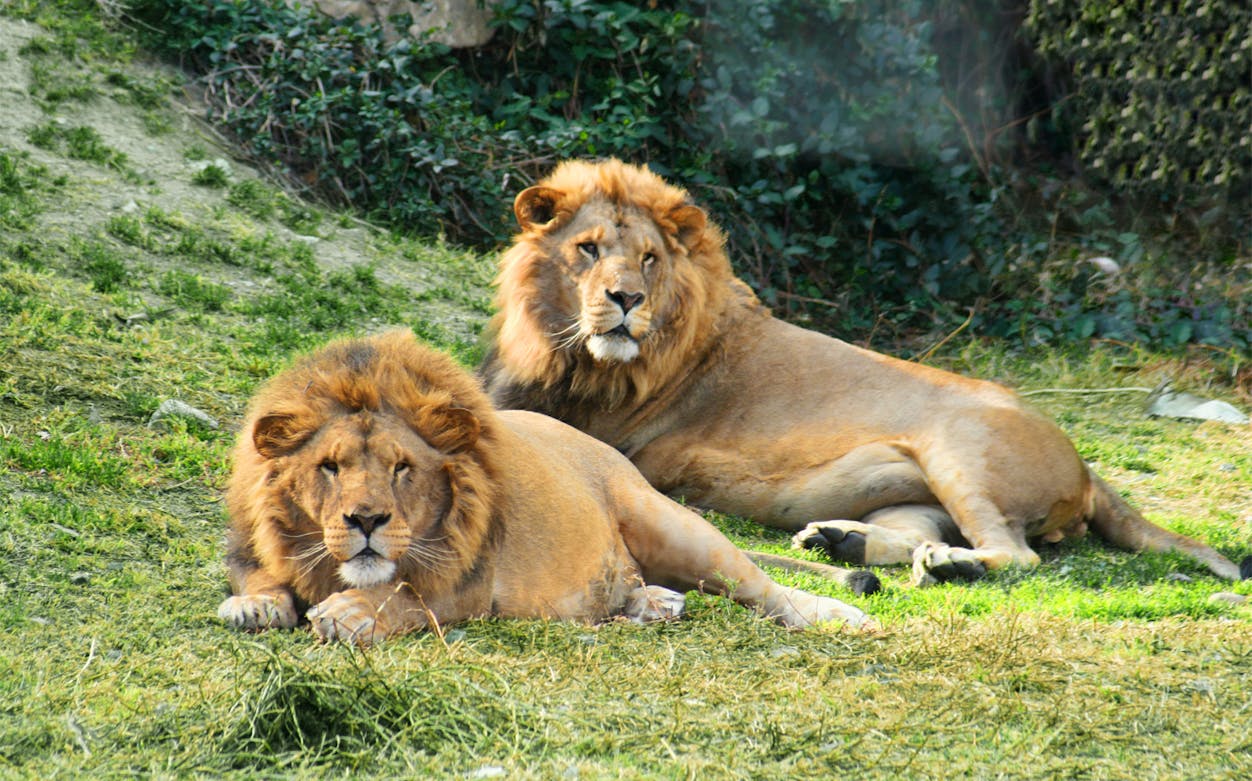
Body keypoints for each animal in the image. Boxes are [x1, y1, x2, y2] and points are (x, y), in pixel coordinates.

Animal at [216, 330, 871, 645]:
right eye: (330, 466)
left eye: (402, 467)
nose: (367, 521)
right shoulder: (251, 546)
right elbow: (259, 576)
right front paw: (255, 604)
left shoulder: (473, 584)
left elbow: (407, 596)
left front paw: (349, 613)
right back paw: (650, 603)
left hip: (671, 524)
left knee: (763, 588)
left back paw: (842, 616)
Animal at [478, 159, 1248, 586]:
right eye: (587, 248)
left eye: (648, 259)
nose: (626, 299)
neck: (563, 348)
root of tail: (1088, 468)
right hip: (915, 490)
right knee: (920, 534)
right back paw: (841, 539)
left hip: (960, 450)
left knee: (1014, 554)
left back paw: (948, 566)